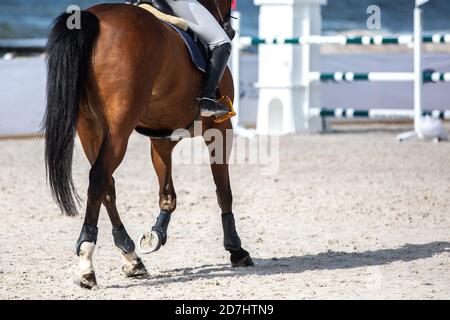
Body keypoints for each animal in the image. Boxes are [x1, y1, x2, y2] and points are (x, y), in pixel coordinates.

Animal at [44, 0, 253, 290]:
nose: (230, 30)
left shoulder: (161, 137)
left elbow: (167, 194)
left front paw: (157, 232)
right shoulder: (220, 128)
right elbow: (224, 191)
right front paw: (236, 249)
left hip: (89, 128)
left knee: (106, 186)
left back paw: (131, 257)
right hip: (118, 130)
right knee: (99, 178)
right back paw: (87, 264)